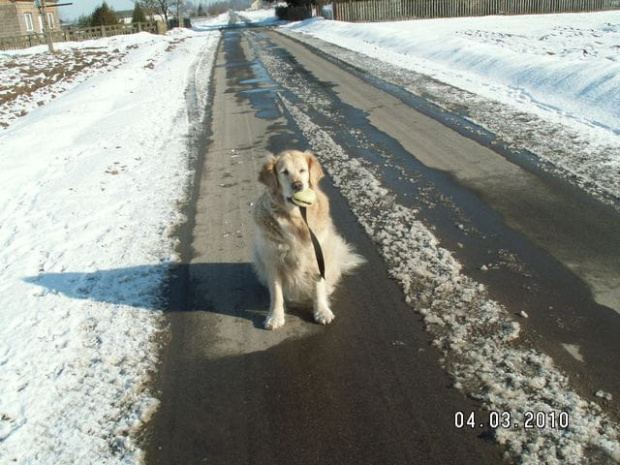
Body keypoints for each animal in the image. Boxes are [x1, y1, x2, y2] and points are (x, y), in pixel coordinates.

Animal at [252, 150, 364, 328]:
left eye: (302, 170)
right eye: (284, 172)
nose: (298, 185)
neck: (297, 218)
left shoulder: (316, 256)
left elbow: (318, 288)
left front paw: (321, 311)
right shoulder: (272, 261)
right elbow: (276, 292)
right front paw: (275, 316)